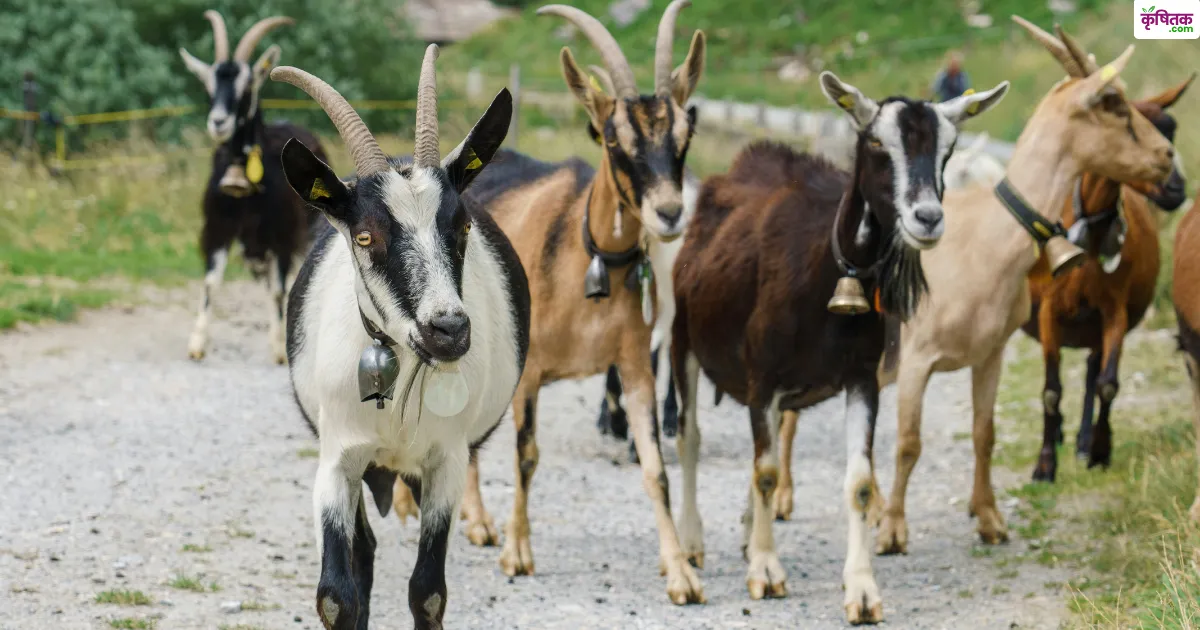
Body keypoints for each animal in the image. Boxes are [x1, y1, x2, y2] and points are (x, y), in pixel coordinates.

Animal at [179, 10, 325, 364]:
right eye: (208, 85)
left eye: (247, 87)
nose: (218, 122)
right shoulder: (218, 227)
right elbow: (211, 282)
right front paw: (197, 342)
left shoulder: (283, 233)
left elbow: (279, 289)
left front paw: (279, 346)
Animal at [271, 46, 526, 630]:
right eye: (366, 236)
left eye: (462, 227)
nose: (448, 329)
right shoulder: (338, 456)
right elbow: (337, 594)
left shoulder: (448, 460)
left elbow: (427, 592)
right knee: (363, 555)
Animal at [671, 72, 1010, 624]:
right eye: (876, 145)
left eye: (948, 148)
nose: (928, 218)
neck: (826, 268)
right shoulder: (762, 375)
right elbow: (767, 471)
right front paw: (766, 571)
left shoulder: (860, 378)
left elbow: (859, 482)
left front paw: (863, 591)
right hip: (684, 343)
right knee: (690, 438)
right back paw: (693, 542)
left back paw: (745, 533)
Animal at [1021, 78, 1192, 482]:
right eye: (1125, 129)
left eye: (1171, 129)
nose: (1176, 189)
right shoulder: (1048, 310)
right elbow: (1051, 390)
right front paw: (1045, 464)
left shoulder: (1114, 309)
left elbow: (1108, 384)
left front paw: (1099, 449)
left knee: (1090, 372)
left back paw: (1084, 441)